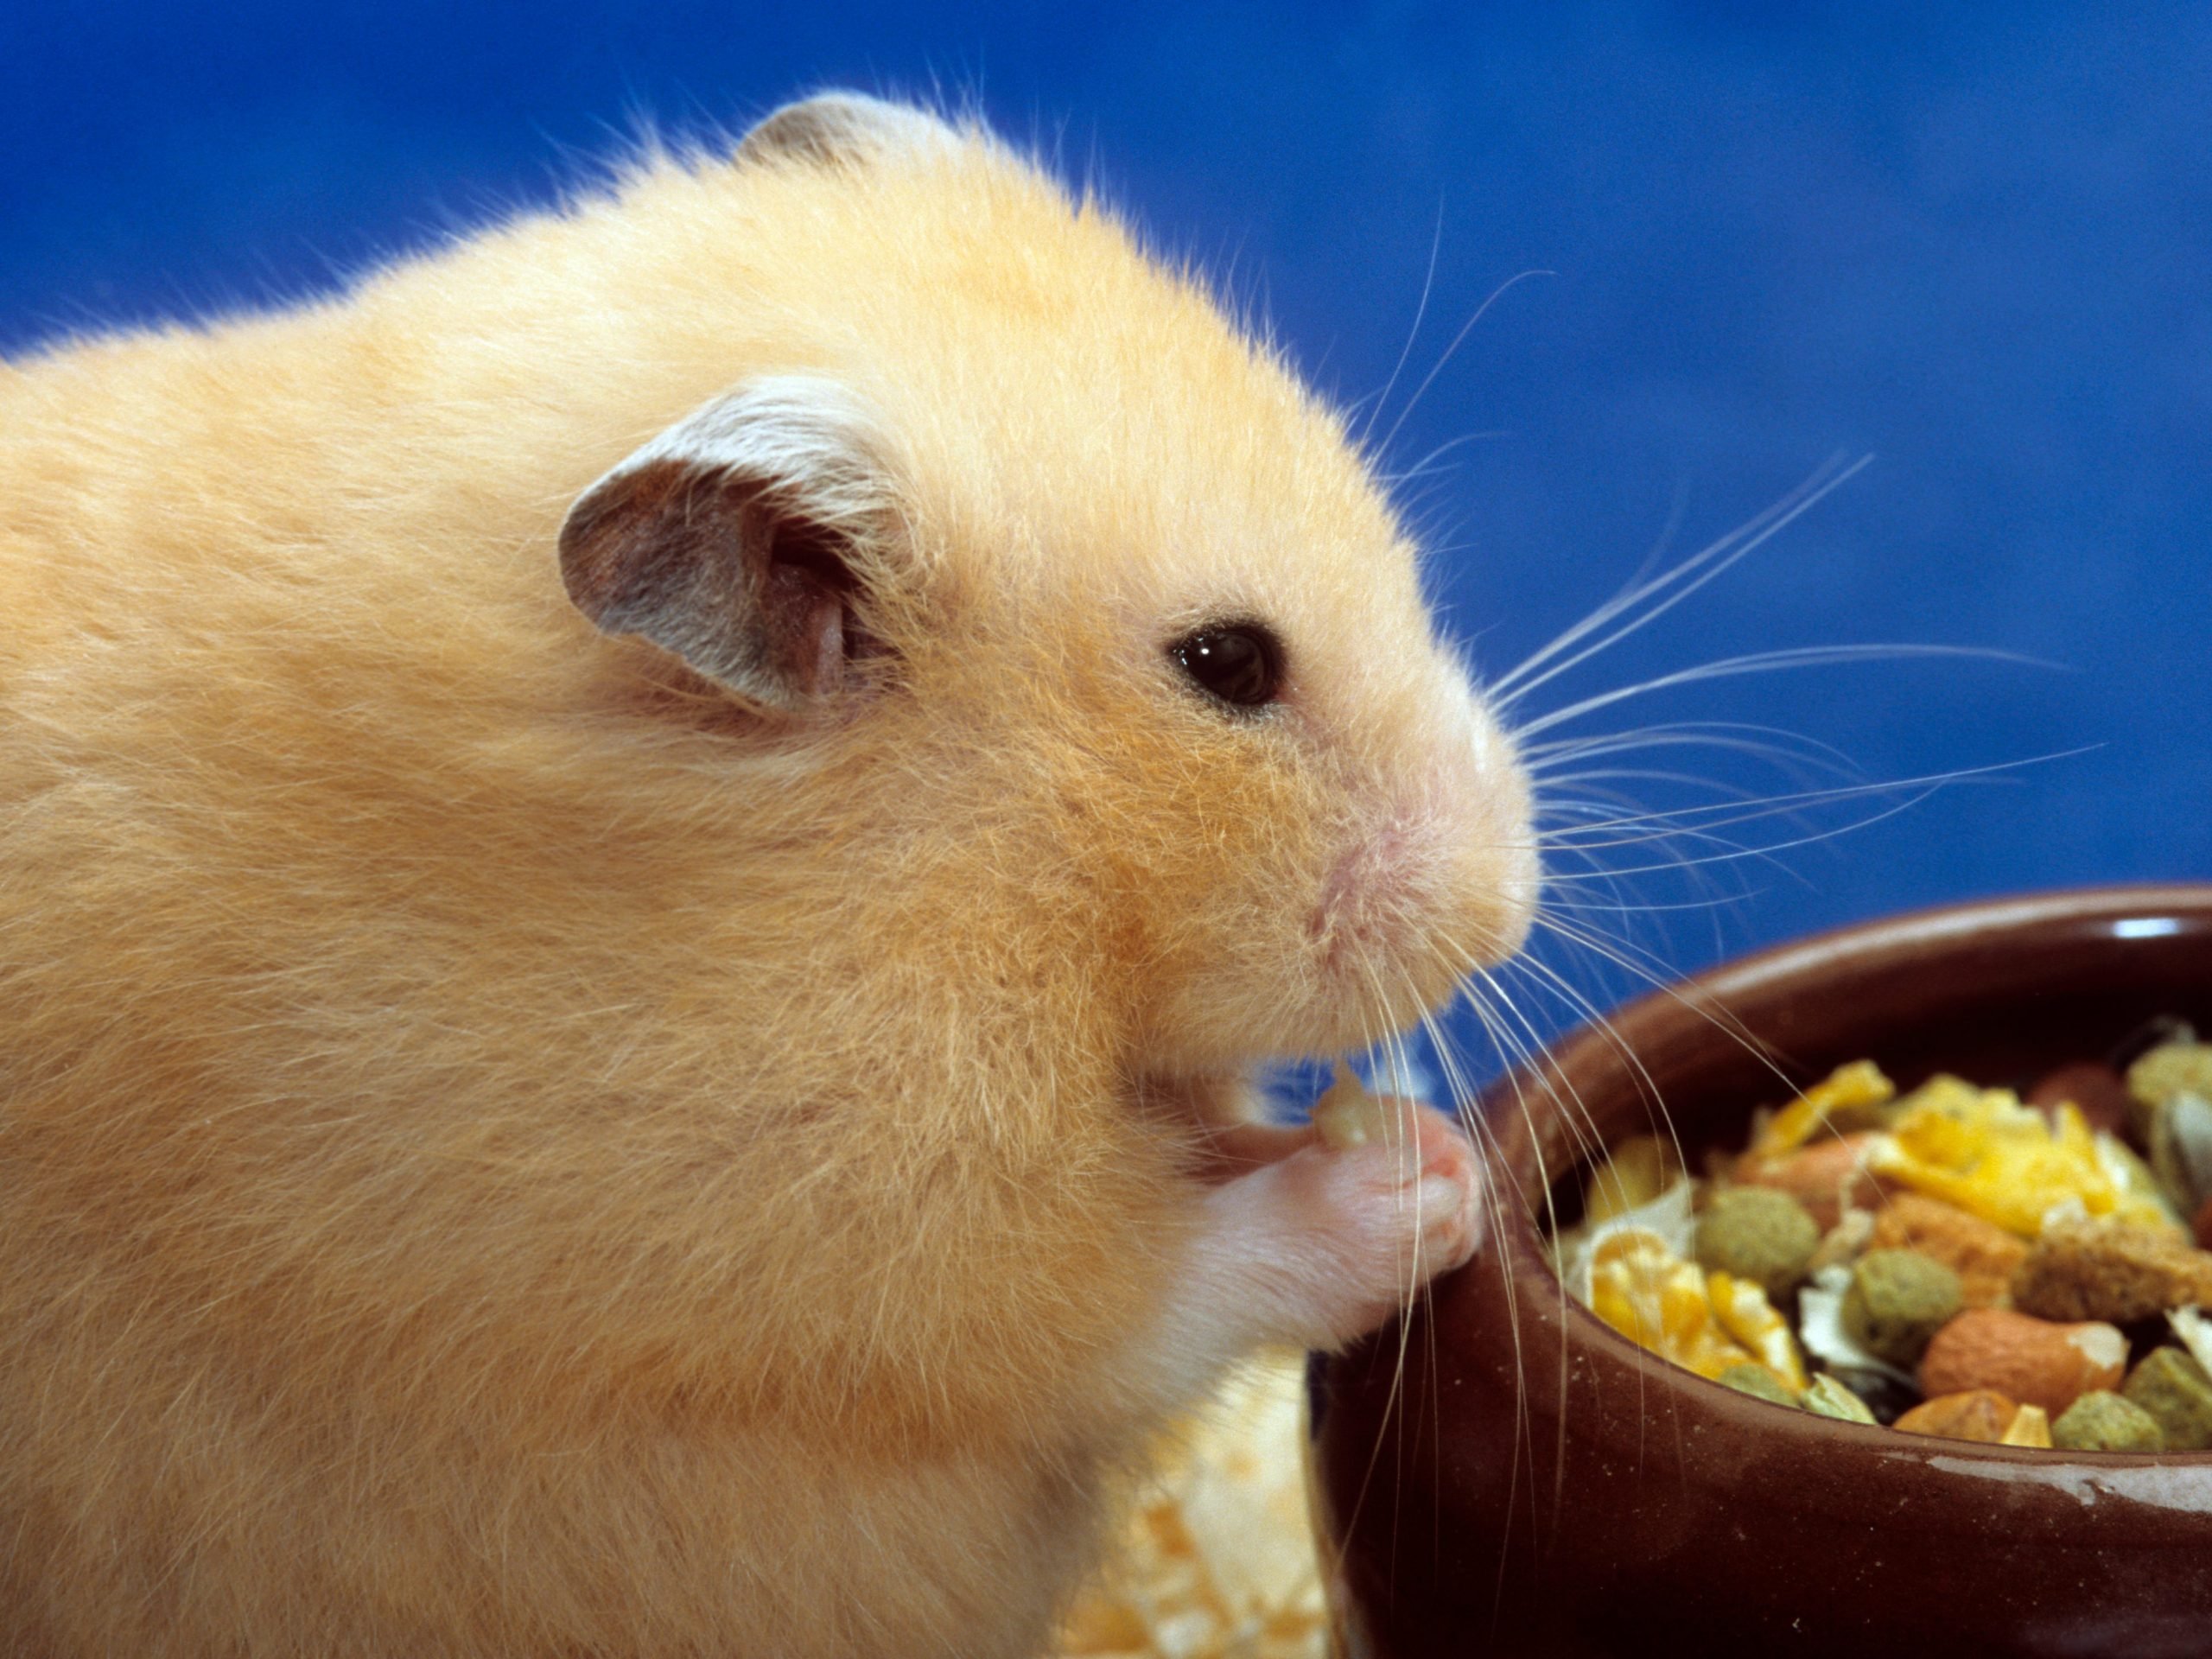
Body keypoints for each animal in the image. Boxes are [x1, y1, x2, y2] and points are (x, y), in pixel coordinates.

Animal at [0, 97, 1539, 1654]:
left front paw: (1423, 1142)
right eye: (1227, 664)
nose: (1515, 896)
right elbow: (1157, 1290)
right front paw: (1428, 1181)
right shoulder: (866, 1257)